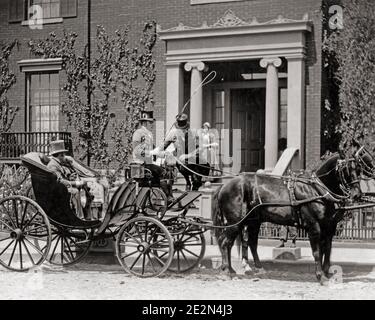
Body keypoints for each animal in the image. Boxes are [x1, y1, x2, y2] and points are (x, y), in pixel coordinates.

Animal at [213, 146, 374, 284]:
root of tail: (224, 186)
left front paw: (327, 272)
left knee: (246, 243)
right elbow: (317, 251)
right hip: (236, 222)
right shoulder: (314, 226)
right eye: (346, 168)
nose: (357, 194)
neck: (317, 189)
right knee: (225, 242)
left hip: (252, 221)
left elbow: (327, 249)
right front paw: (320, 276)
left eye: (358, 168)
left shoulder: (329, 226)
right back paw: (227, 271)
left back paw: (241, 269)